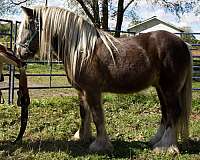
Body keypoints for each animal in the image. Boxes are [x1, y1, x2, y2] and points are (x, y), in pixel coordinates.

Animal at [17, 6, 192, 154]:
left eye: (27, 26)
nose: (19, 52)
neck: (82, 51)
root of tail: (182, 43)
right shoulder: (82, 91)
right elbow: (84, 113)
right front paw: (82, 136)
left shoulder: (92, 91)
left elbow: (97, 116)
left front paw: (100, 145)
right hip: (160, 87)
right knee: (166, 112)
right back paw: (156, 140)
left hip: (169, 88)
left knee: (174, 112)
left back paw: (165, 146)